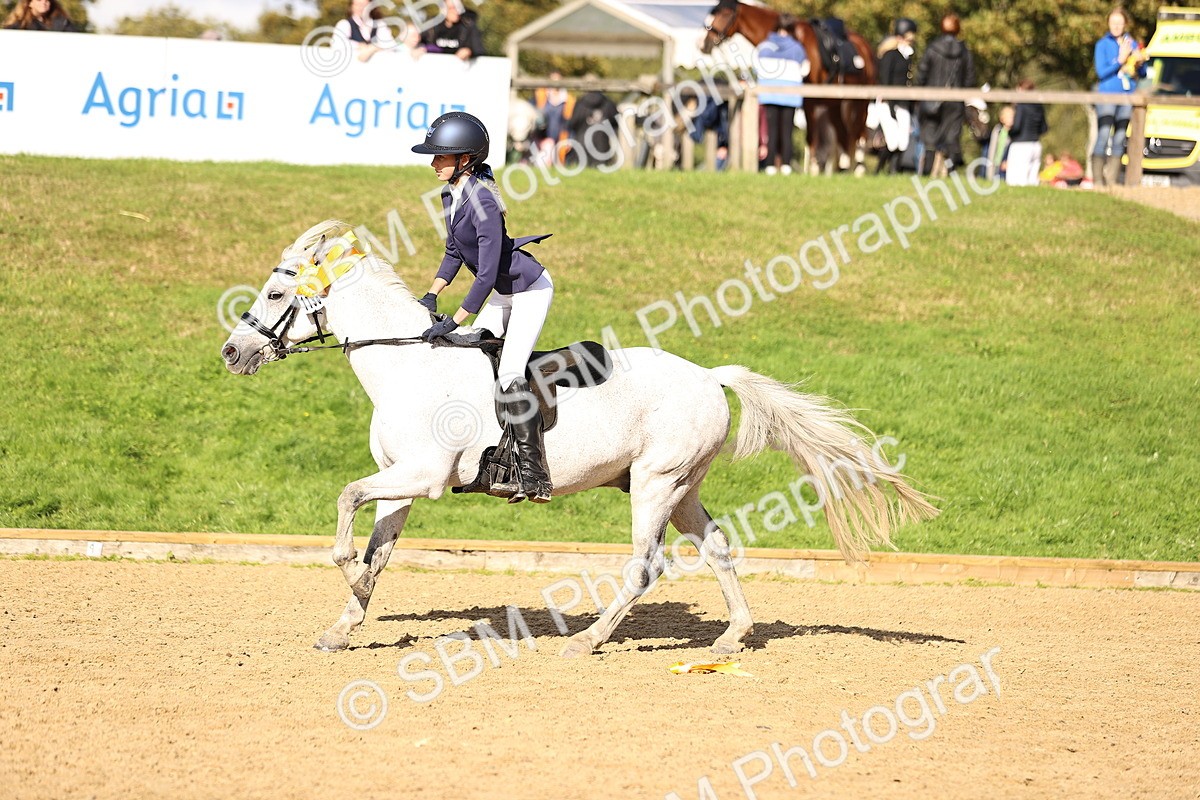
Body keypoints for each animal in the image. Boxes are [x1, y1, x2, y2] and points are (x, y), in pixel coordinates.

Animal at [220, 221, 938, 656]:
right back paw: (732, 636)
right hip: (681, 489)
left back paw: (587, 640)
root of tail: (710, 377)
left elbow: (345, 502)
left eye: (277, 291)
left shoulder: (423, 477)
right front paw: (347, 619)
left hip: (654, 485)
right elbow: (377, 548)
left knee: (645, 566)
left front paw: (349, 580)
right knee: (718, 549)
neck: (407, 367)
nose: (232, 351)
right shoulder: (402, 485)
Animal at [700, 0, 877, 175]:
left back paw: (858, 169)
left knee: (860, 134)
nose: (703, 43)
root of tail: (865, 45)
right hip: (835, 104)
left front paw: (812, 168)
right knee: (843, 134)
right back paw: (843, 168)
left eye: (725, 14)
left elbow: (810, 135)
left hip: (859, 103)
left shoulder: (809, 100)